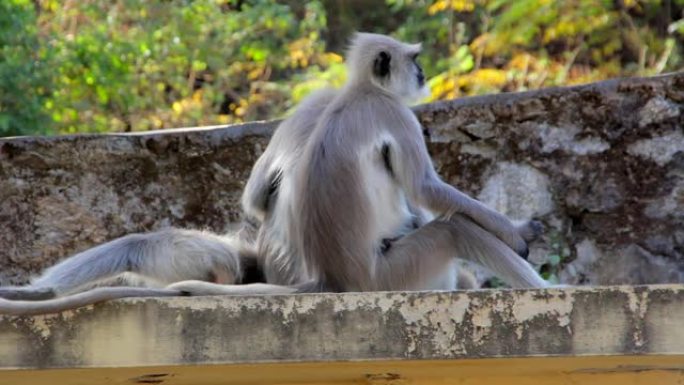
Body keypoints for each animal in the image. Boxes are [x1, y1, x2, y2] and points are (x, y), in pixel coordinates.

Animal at [0, 33, 548, 316]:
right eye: (413, 62)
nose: (422, 75)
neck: (356, 93)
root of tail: (330, 281)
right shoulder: (391, 113)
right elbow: (426, 190)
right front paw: (517, 233)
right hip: (392, 274)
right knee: (452, 230)